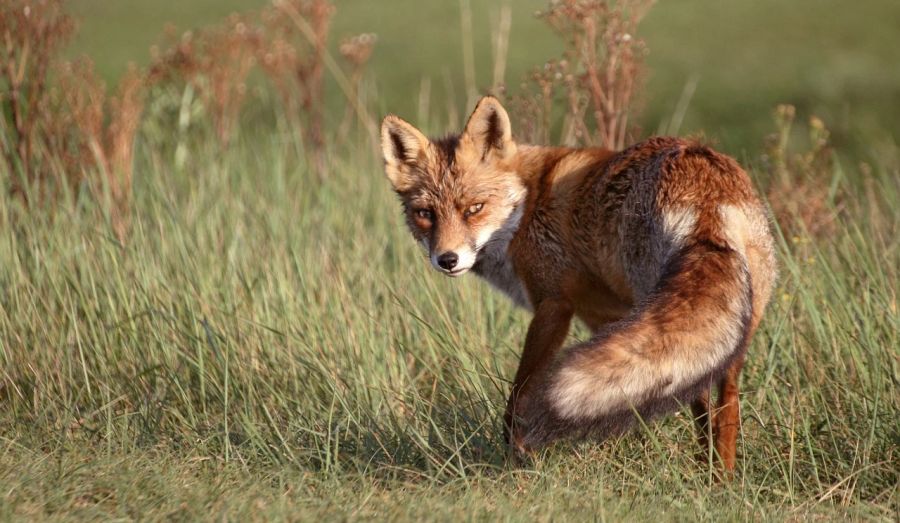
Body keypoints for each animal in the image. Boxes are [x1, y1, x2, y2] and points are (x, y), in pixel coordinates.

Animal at [376, 95, 776, 474]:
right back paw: (719, 478)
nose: (447, 259)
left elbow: (520, 394)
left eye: (474, 208)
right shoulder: (606, 318)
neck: (528, 204)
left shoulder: (554, 304)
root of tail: (706, 189)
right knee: (721, 399)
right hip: (728, 325)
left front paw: (516, 457)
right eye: (425, 214)